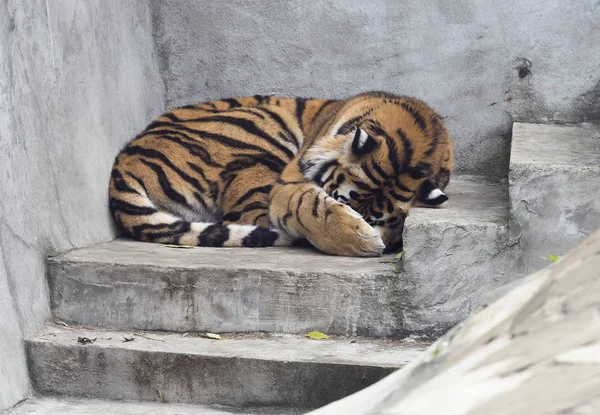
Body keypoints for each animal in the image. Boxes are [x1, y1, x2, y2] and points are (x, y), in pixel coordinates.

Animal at [110, 92, 452, 256]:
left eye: (378, 217)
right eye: (340, 200)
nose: (366, 224)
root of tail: (124, 160)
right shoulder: (290, 180)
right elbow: (312, 209)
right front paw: (361, 240)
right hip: (257, 143)